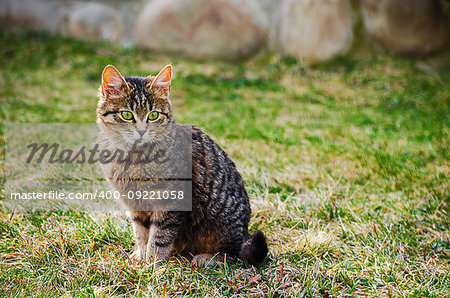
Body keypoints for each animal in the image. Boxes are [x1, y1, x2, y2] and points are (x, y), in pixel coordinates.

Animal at [95, 64, 268, 266]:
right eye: (126, 114)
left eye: (153, 115)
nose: (141, 131)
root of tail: (245, 232)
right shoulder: (134, 203)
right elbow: (141, 233)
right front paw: (140, 256)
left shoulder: (169, 200)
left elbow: (159, 237)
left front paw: (152, 264)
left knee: (232, 255)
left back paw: (206, 258)